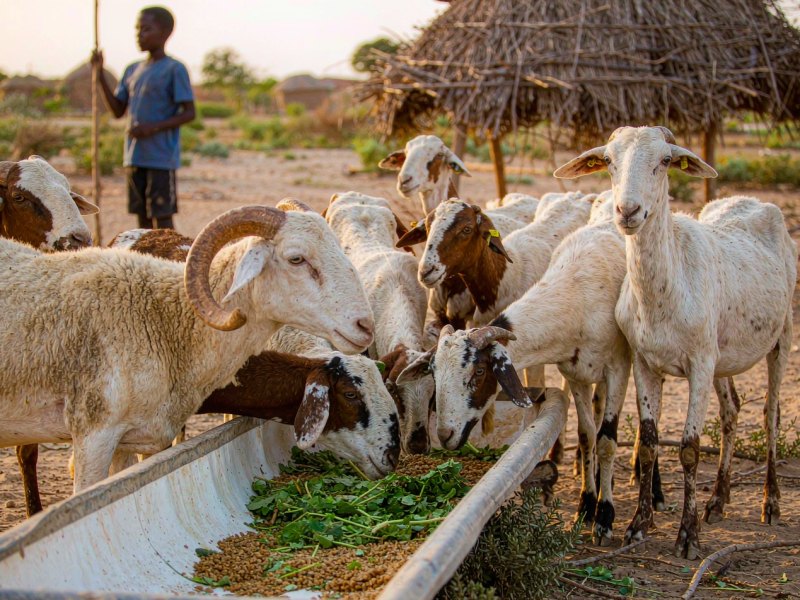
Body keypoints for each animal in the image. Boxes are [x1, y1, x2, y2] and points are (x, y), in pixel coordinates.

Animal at [554, 125, 796, 560]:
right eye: (609, 160)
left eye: (666, 160)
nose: (628, 211)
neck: (668, 286)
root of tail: (754, 201)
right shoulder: (646, 362)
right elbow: (649, 442)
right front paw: (638, 525)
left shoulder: (699, 364)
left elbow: (689, 449)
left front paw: (687, 536)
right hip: (724, 355)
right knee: (732, 410)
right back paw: (718, 500)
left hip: (781, 336)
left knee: (771, 414)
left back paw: (770, 502)